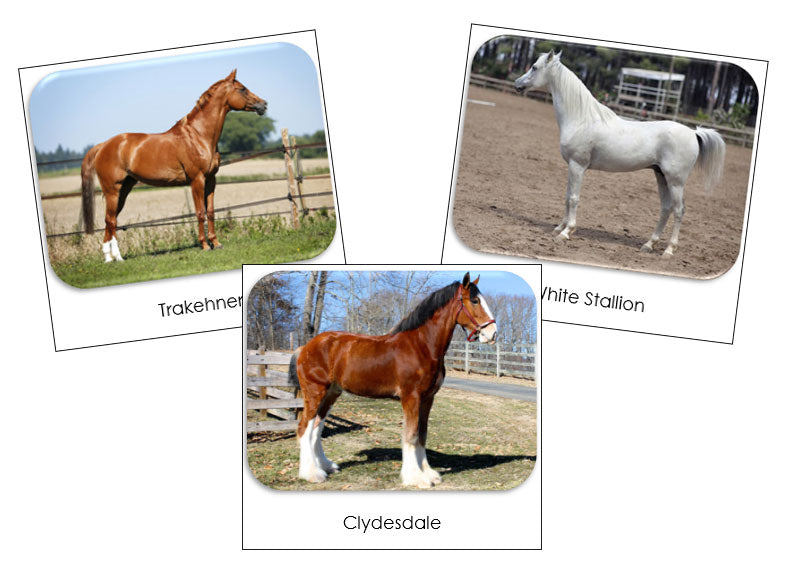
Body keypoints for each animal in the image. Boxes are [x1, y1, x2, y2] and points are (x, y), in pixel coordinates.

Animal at [80, 70, 267, 262]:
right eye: (242, 89)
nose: (263, 104)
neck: (199, 136)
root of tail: (103, 145)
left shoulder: (211, 180)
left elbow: (210, 212)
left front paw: (216, 243)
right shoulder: (197, 180)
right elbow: (200, 213)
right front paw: (205, 246)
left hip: (123, 190)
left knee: (110, 221)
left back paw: (110, 258)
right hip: (112, 190)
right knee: (111, 221)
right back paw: (117, 257)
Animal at [288, 272, 498, 488]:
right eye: (474, 300)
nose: (492, 333)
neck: (422, 345)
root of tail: (305, 348)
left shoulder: (427, 399)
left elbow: (422, 435)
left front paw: (429, 474)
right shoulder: (411, 398)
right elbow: (411, 435)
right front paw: (415, 477)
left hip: (331, 394)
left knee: (316, 429)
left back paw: (325, 466)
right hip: (315, 393)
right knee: (304, 428)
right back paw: (312, 474)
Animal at [514, 51, 726, 258]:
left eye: (534, 67)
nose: (517, 84)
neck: (581, 118)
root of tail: (693, 133)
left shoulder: (577, 165)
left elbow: (573, 198)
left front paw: (566, 233)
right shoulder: (572, 167)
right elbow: (567, 196)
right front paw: (559, 228)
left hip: (675, 182)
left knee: (679, 210)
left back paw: (669, 250)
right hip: (661, 176)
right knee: (666, 208)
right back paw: (649, 245)